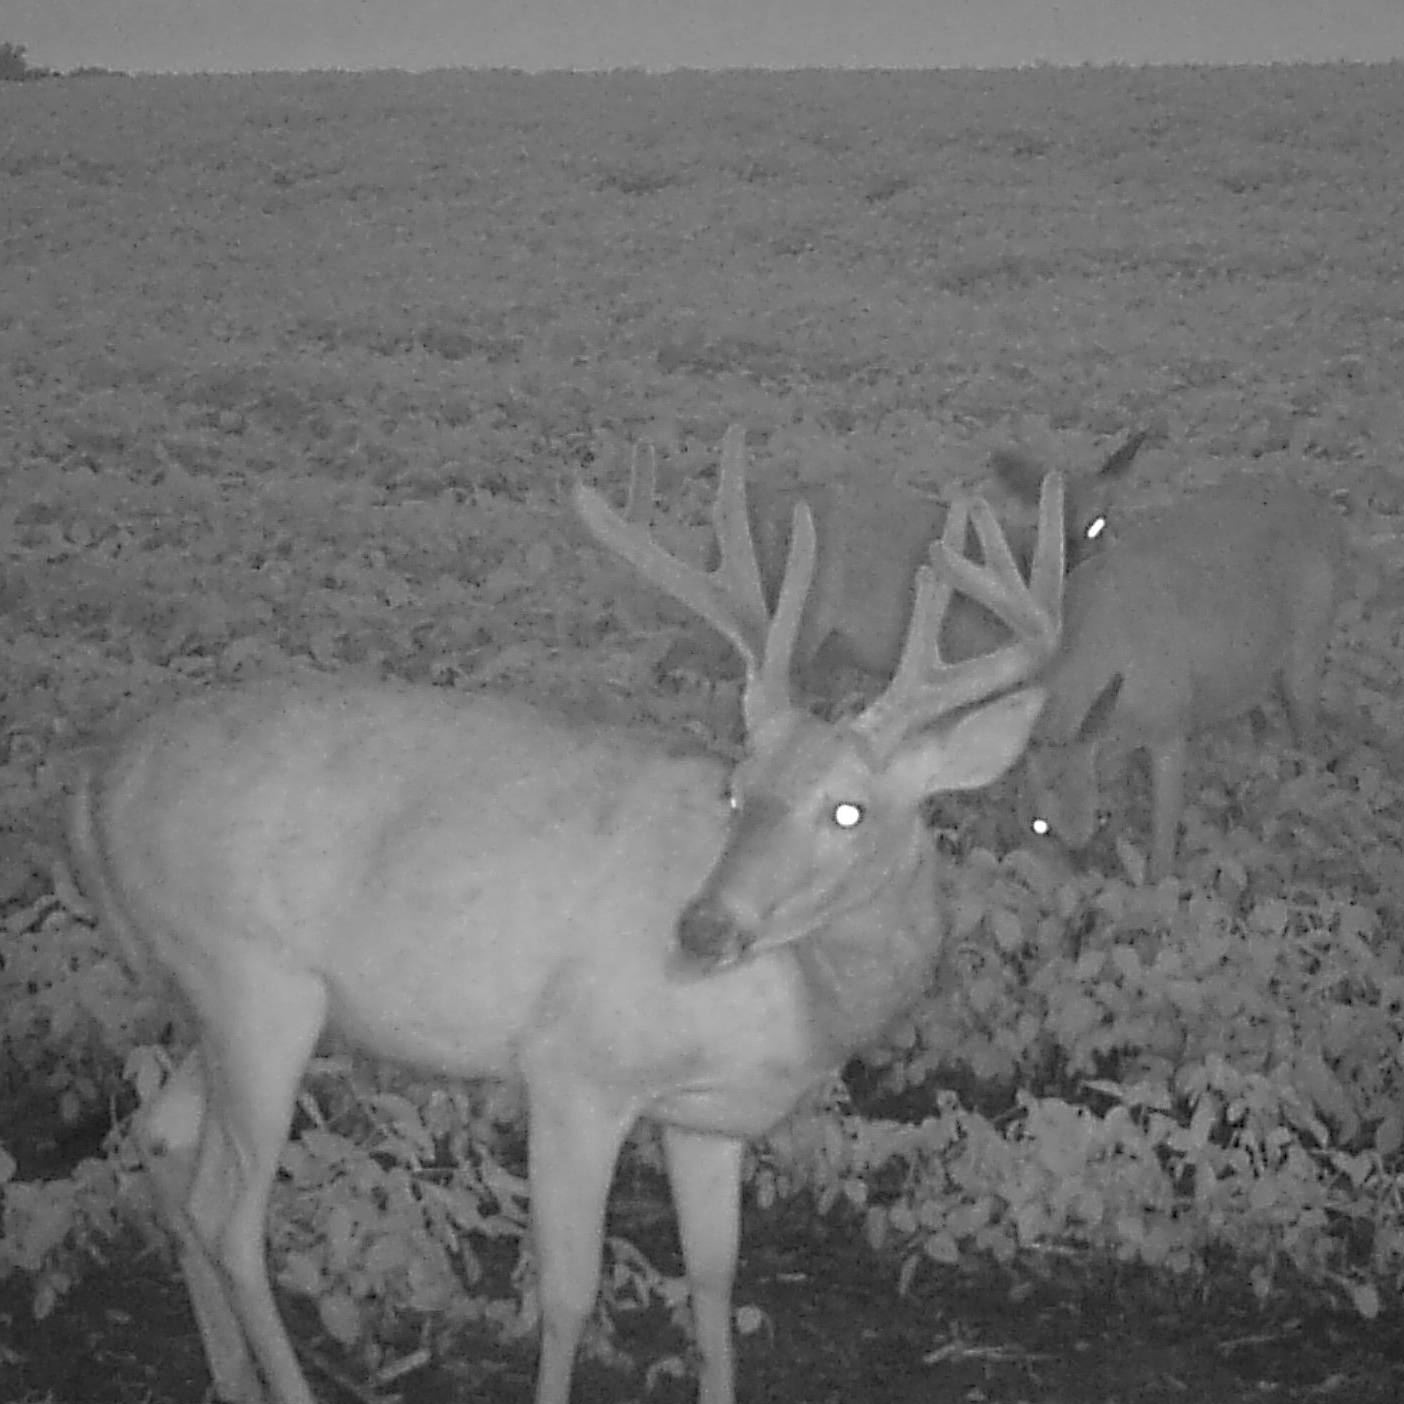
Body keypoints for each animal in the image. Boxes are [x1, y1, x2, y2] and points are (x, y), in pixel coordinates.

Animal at [68, 424, 1061, 1404]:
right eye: (737, 791)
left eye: (848, 810)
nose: (701, 929)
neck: (798, 1001)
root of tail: (96, 791)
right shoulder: (574, 1068)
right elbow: (570, 1295)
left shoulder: (707, 1120)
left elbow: (713, 1285)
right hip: (255, 981)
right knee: (231, 1217)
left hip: (212, 995)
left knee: (164, 1142)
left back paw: (230, 1377)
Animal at [1022, 477, 1347, 881]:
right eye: (1040, 825)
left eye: (1101, 817)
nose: (1083, 868)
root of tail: (1327, 514)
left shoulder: (1171, 726)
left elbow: (1163, 844)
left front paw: (1159, 888)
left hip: (1309, 646)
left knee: (1309, 744)